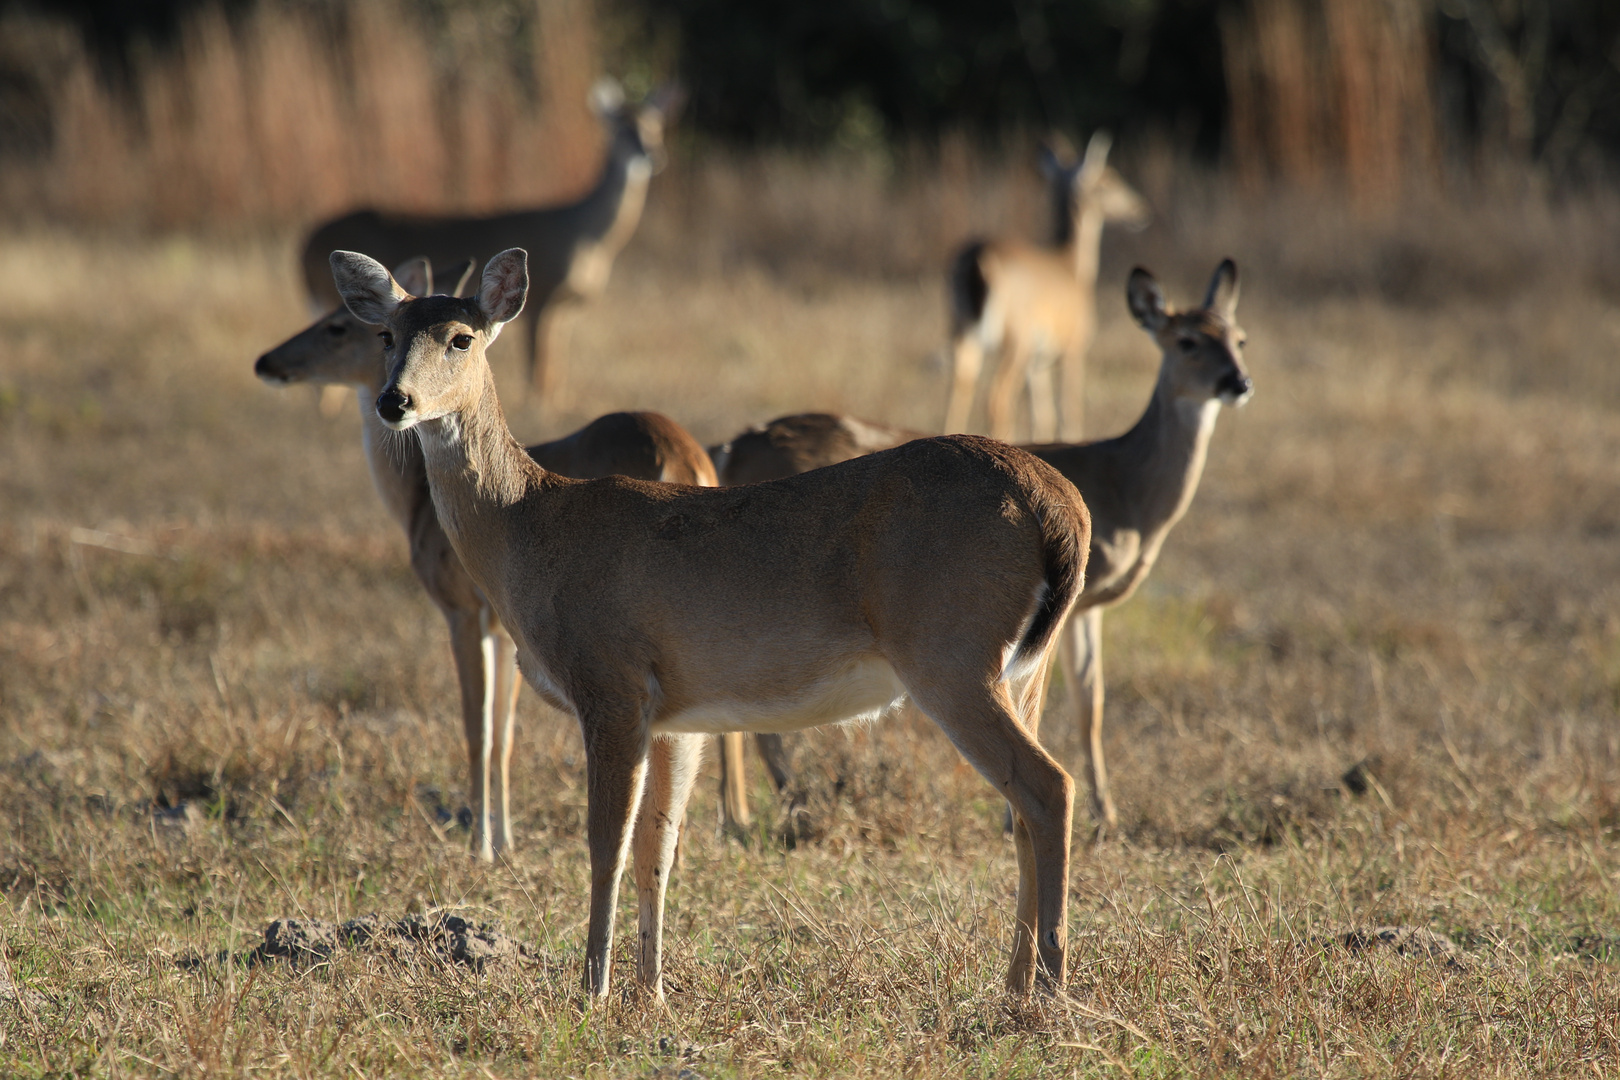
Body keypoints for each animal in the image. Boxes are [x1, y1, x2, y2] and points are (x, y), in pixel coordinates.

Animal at [254, 254, 758, 861]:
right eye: (386, 334)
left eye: (338, 325)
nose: (267, 361)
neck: (415, 502)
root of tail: (684, 456)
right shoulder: (504, 625)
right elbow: (504, 735)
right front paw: (507, 840)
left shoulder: (462, 606)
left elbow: (477, 729)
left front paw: (479, 844)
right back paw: (735, 823)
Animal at [301, 78, 680, 403]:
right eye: (620, 127)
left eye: (655, 125)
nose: (652, 154)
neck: (584, 235)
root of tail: (305, 244)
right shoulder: (541, 297)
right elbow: (538, 371)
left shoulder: (564, 309)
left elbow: (554, 373)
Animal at [328, 247, 1088, 1003]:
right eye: (387, 335)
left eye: (461, 337)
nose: (394, 401)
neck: (527, 527)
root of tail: (1062, 508)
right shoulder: (677, 715)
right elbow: (657, 848)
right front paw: (651, 992)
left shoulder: (611, 684)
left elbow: (605, 843)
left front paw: (593, 988)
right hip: (1023, 667)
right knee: (1025, 807)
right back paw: (1016, 984)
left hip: (952, 656)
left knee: (1049, 787)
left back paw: (1048, 991)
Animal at [703, 263, 1244, 835]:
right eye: (1186, 341)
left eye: (1239, 339)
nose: (1238, 383)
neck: (1129, 487)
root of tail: (729, 447)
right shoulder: (1076, 602)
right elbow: (1075, 704)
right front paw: (1053, 819)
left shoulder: (1084, 608)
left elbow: (1090, 702)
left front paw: (1107, 814)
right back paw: (777, 812)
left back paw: (742, 814)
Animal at [946, 131, 1159, 443]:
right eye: (1107, 179)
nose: (1140, 209)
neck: (1073, 268)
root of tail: (978, 258)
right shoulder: (1073, 346)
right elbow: (1070, 409)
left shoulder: (1039, 362)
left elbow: (1042, 417)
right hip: (1016, 337)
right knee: (997, 398)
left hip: (961, 327)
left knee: (960, 386)